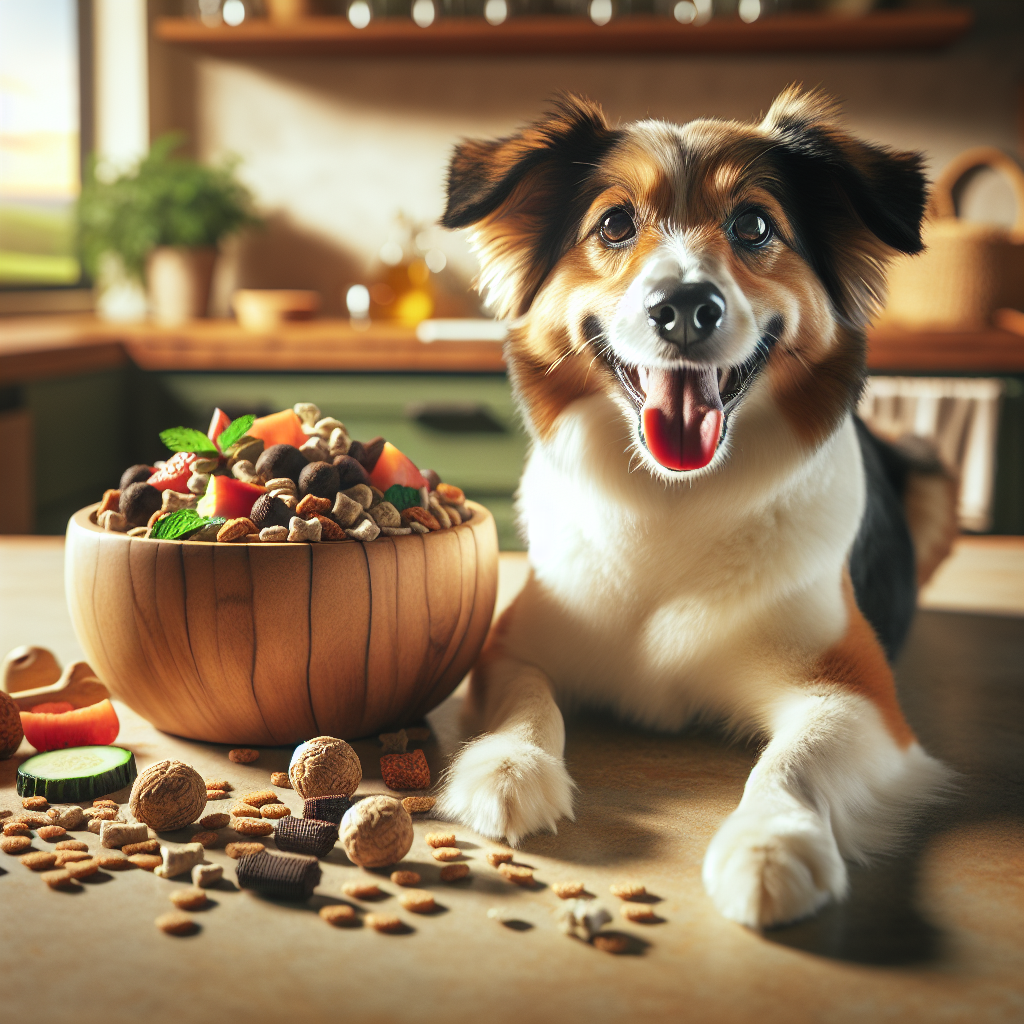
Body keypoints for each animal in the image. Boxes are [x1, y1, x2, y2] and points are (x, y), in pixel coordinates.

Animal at [436, 90, 954, 929]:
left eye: (754, 226)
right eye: (615, 224)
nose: (684, 307)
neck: (672, 502)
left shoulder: (857, 692)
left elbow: (795, 760)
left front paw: (771, 843)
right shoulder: (512, 643)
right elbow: (527, 702)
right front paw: (507, 769)